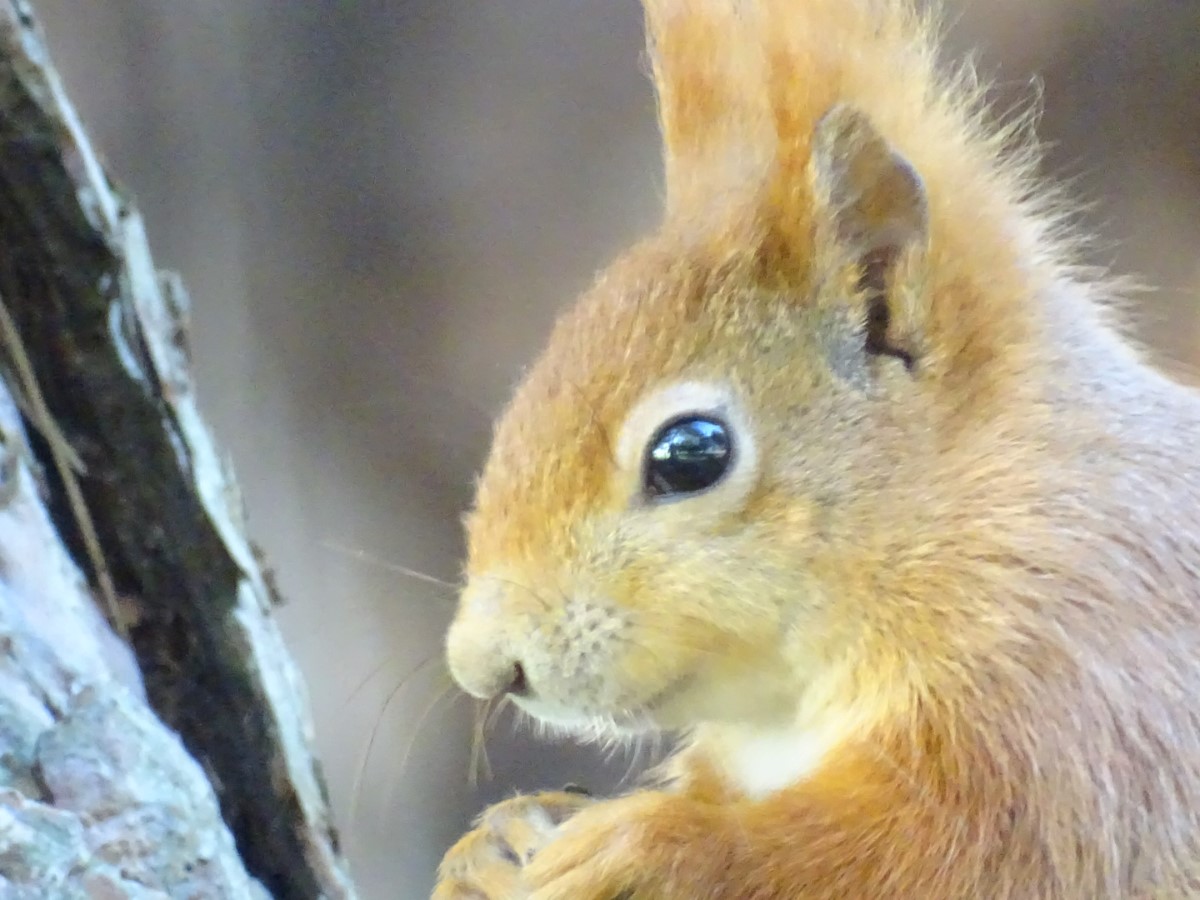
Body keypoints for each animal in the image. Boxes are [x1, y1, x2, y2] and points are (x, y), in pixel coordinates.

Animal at [433, 0, 1200, 897]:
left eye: (689, 455)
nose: (485, 669)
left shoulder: (1084, 692)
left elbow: (960, 855)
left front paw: (650, 847)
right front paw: (490, 845)